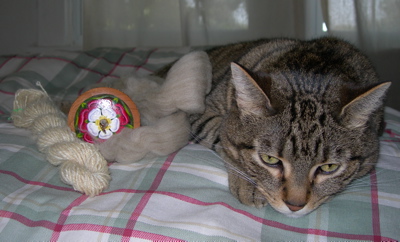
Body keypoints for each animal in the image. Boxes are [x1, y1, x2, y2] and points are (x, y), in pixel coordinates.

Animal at [159, 37, 390, 217]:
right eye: (270, 159)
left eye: (329, 167)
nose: (295, 206)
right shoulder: (199, 113)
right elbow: (224, 140)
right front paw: (248, 183)